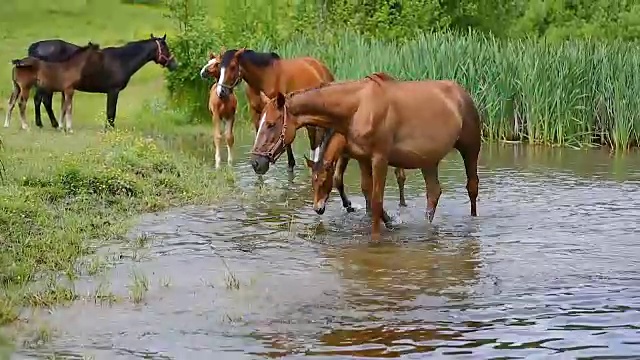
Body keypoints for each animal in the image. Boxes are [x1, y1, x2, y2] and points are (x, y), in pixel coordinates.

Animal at [250, 72, 480, 242]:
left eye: (271, 124)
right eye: (260, 122)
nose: (256, 162)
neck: (357, 108)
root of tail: (463, 94)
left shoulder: (380, 158)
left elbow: (376, 200)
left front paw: (376, 238)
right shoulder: (362, 158)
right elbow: (367, 192)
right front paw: (388, 222)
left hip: (471, 149)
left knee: (472, 187)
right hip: (428, 160)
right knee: (433, 193)